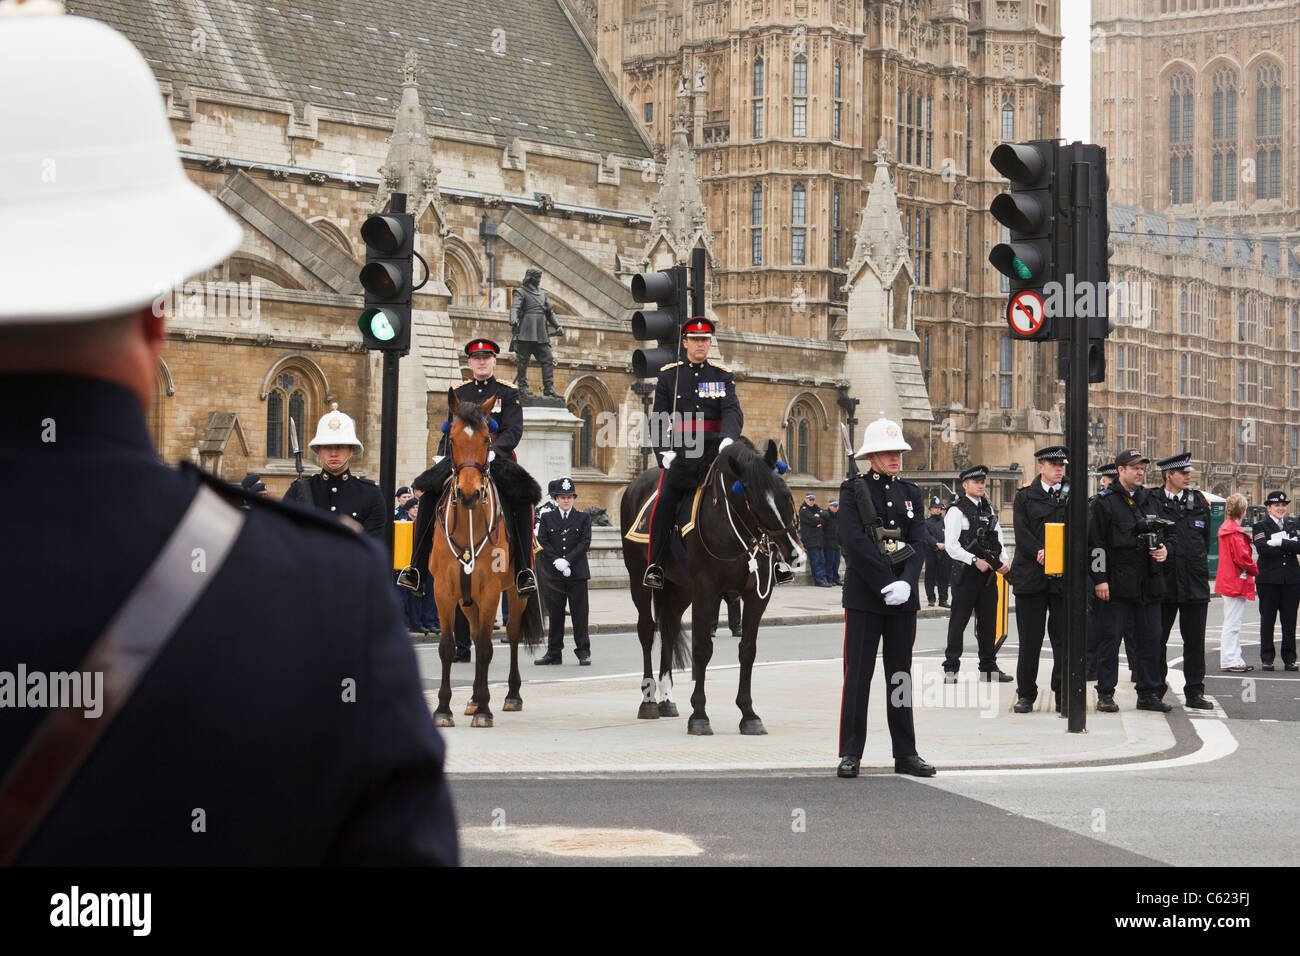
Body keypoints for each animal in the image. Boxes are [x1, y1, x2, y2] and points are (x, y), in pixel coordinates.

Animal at [431, 387, 543, 723]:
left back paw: (510, 695)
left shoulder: (491, 590)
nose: (468, 494)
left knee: (512, 635)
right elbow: (448, 646)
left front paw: (484, 709)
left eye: (486, 440)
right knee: (473, 632)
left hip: (515, 594)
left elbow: (484, 647)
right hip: (467, 600)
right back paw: (471, 699)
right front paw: (444, 709)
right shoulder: (444, 591)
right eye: (453, 439)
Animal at [618, 437, 800, 738]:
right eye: (754, 501)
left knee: (668, 631)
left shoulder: (756, 594)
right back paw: (649, 701)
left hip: (679, 589)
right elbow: (702, 649)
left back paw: (667, 699)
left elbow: (748, 649)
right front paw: (699, 715)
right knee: (646, 631)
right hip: (639, 579)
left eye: (786, 494)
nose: (794, 553)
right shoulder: (706, 590)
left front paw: (748, 713)